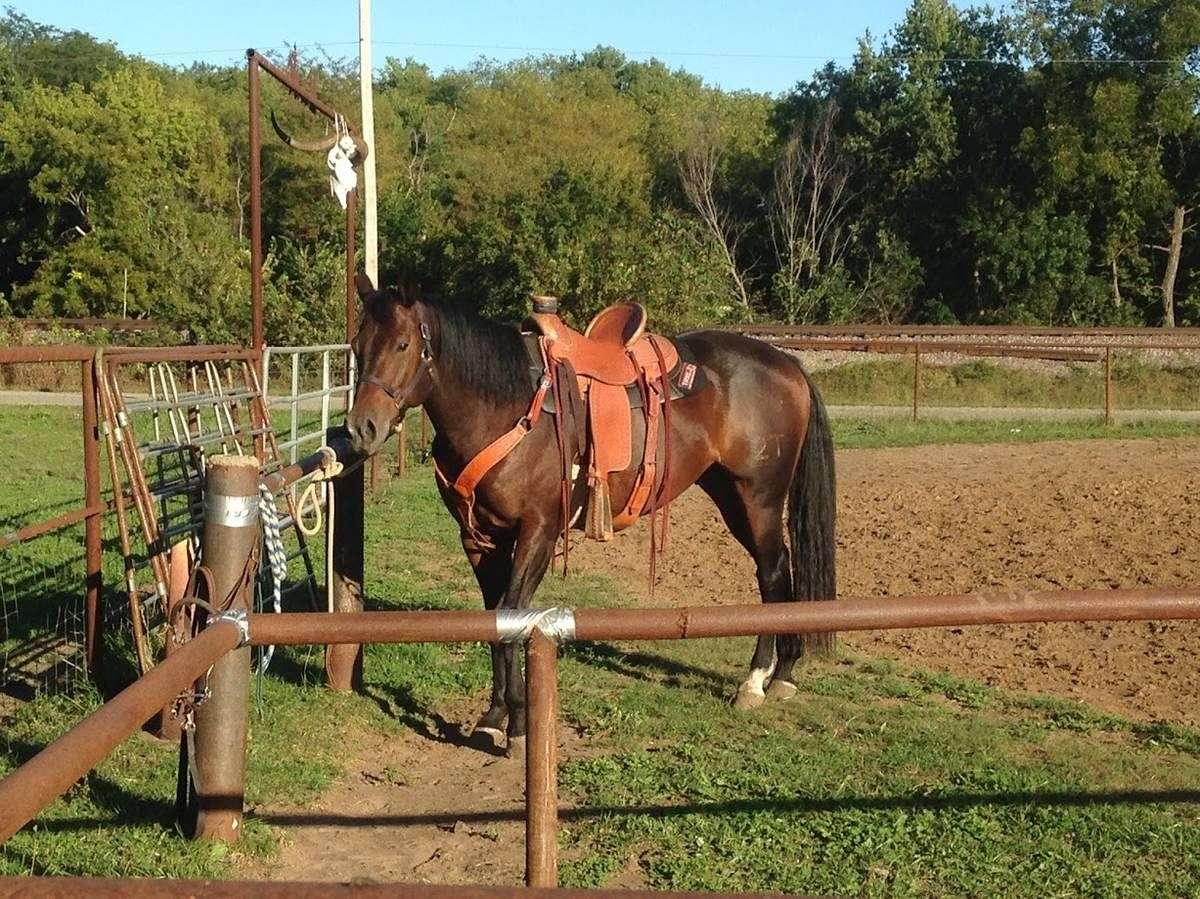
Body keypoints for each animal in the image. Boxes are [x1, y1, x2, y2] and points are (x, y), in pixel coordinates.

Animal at [346, 277, 837, 753]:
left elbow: (513, 615)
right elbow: (493, 621)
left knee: (772, 574)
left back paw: (754, 682)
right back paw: (783, 673)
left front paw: (520, 725)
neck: (503, 407)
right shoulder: (479, 538)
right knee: (782, 570)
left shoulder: (538, 533)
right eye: (356, 343)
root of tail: (787, 363)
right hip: (730, 494)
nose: (361, 428)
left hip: (759, 498)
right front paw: (492, 718)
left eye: (403, 345)